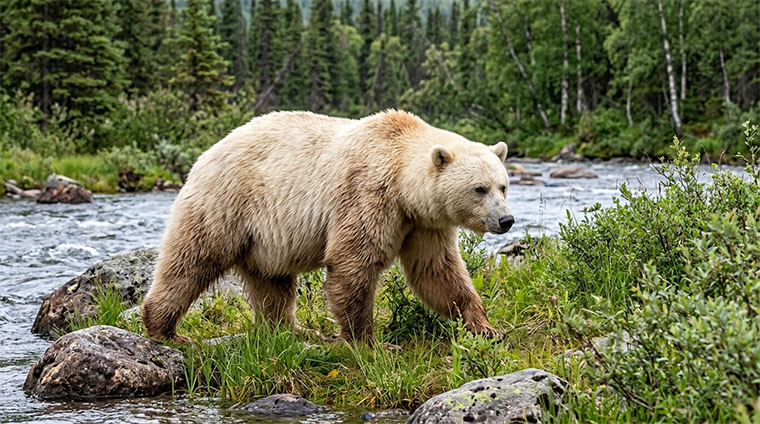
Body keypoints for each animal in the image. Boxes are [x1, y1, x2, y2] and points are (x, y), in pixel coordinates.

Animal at [141, 110, 514, 344]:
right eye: (479, 188)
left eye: (503, 186)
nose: (506, 220)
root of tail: (206, 154)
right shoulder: (368, 193)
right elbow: (354, 260)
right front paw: (369, 342)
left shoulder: (423, 223)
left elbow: (437, 270)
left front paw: (485, 326)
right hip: (227, 203)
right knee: (192, 259)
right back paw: (166, 329)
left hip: (265, 236)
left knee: (272, 284)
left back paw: (292, 330)